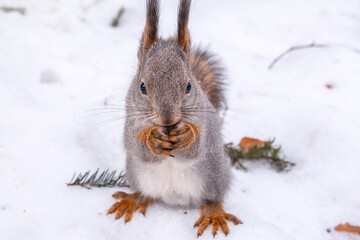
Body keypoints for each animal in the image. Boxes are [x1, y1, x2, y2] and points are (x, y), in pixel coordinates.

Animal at [107, 0, 242, 237]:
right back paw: (133, 199)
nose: (167, 118)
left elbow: (195, 147)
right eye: (142, 87)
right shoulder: (130, 120)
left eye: (189, 86)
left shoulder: (204, 121)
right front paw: (152, 140)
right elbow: (138, 147)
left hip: (213, 176)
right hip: (138, 174)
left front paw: (186, 136)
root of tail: (175, 197)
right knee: (146, 193)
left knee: (212, 199)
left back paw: (213, 214)